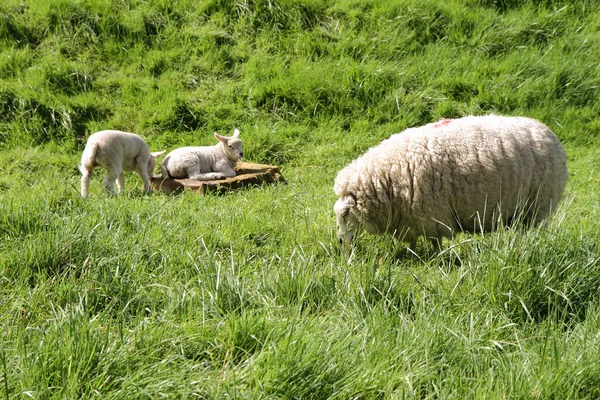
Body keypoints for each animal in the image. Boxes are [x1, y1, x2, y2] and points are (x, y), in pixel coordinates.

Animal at [332, 114, 568, 250]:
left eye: (345, 214)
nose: (341, 241)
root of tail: (547, 131)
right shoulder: (410, 218)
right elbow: (413, 240)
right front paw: (413, 254)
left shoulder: (432, 216)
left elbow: (436, 242)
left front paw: (434, 259)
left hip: (537, 206)